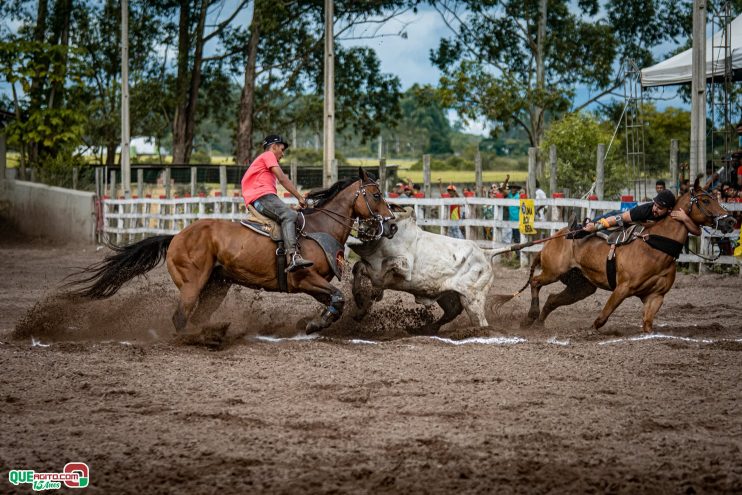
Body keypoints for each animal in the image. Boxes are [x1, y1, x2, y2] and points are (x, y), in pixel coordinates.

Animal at [67, 169, 398, 336]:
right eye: (376, 194)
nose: (393, 225)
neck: (320, 228)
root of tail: (176, 236)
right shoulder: (304, 279)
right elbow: (338, 298)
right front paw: (314, 324)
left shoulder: (314, 285)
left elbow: (336, 301)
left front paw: (318, 321)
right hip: (193, 284)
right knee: (180, 317)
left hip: (216, 286)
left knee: (195, 316)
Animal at [352, 207, 496, 336]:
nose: (360, 229)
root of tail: (485, 253)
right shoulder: (370, 269)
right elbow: (357, 268)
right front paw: (359, 304)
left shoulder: (399, 270)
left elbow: (385, 269)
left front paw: (369, 301)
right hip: (449, 295)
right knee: (452, 311)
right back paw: (425, 329)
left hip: (472, 300)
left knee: (481, 322)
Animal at [506, 176, 740, 336]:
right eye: (705, 200)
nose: (730, 221)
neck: (654, 247)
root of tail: (558, 235)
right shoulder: (622, 288)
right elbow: (602, 318)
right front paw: (589, 331)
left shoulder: (656, 296)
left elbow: (648, 325)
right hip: (554, 271)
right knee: (536, 283)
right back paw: (530, 317)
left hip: (581, 285)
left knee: (553, 299)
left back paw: (538, 323)